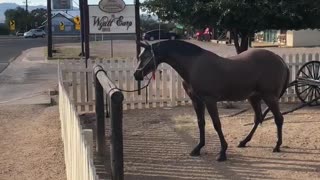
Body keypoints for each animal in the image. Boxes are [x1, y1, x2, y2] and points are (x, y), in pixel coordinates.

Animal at [134, 40, 288, 161]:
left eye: (146, 56)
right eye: (140, 56)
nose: (137, 74)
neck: (193, 65)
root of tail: (279, 59)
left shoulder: (210, 100)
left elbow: (216, 124)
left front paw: (222, 152)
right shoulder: (197, 101)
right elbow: (201, 123)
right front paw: (198, 148)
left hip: (269, 97)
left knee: (278, 119)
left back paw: (277, 146)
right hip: (254, 97)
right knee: (258, 118)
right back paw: (244, 141)